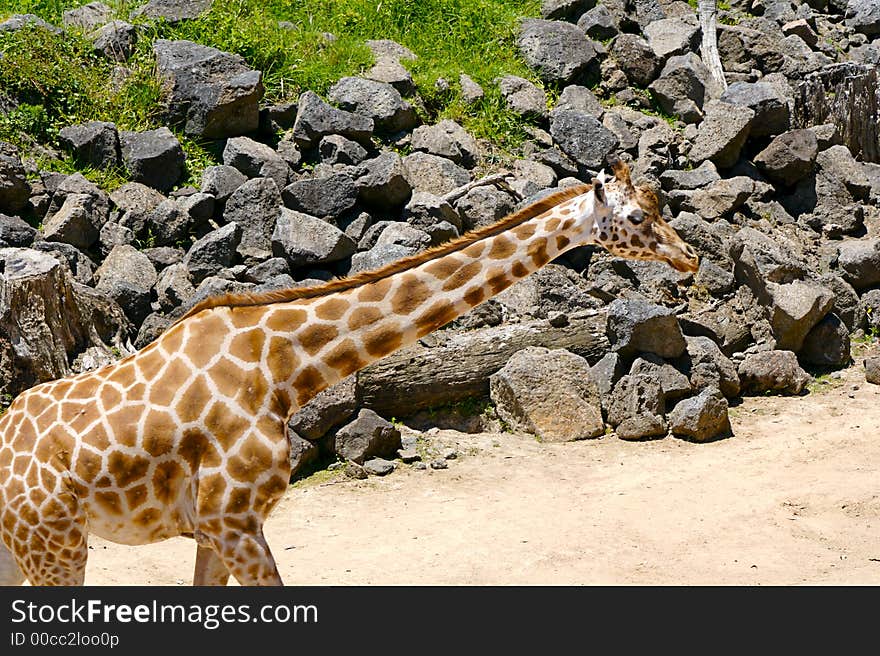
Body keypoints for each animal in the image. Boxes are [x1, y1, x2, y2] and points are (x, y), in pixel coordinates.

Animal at [1, 158, 700, 584]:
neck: (283, 369)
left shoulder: (214, 528)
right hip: (56, 543)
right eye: (637, 217)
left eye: (658, 204)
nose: (691, 258)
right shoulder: (232, 518)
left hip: (22, 548)